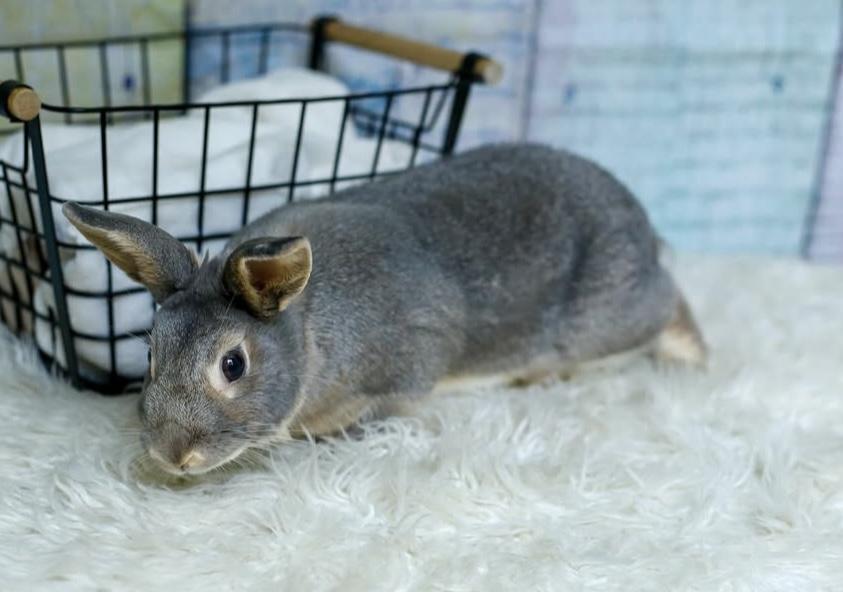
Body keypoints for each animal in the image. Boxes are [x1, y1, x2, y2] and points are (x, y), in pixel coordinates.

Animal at [62, 143, 706, 476]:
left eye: (233, 365)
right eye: (151, 354)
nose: (171, 456)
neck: (307, 333)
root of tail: (640, 220)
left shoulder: (405, 372)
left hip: (614, 316)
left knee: (670, 301)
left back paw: (692, 360)